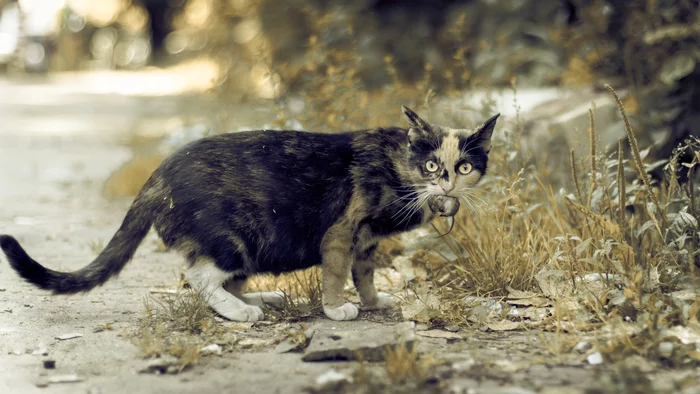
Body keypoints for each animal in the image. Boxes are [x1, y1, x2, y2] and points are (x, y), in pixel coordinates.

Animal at [2, 106, 500, 322]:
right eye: (431, 165)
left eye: (464, 166)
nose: (445, 184)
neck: (400, 169)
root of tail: (158, 173)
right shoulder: (341, 233)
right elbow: (337, 274)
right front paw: (336, 309)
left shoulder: (367, 242)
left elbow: (365, 274)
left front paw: (374, 301)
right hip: (236, 238)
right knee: (200, 277)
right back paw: (240, 312)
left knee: (222, 279)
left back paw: (261, 299)